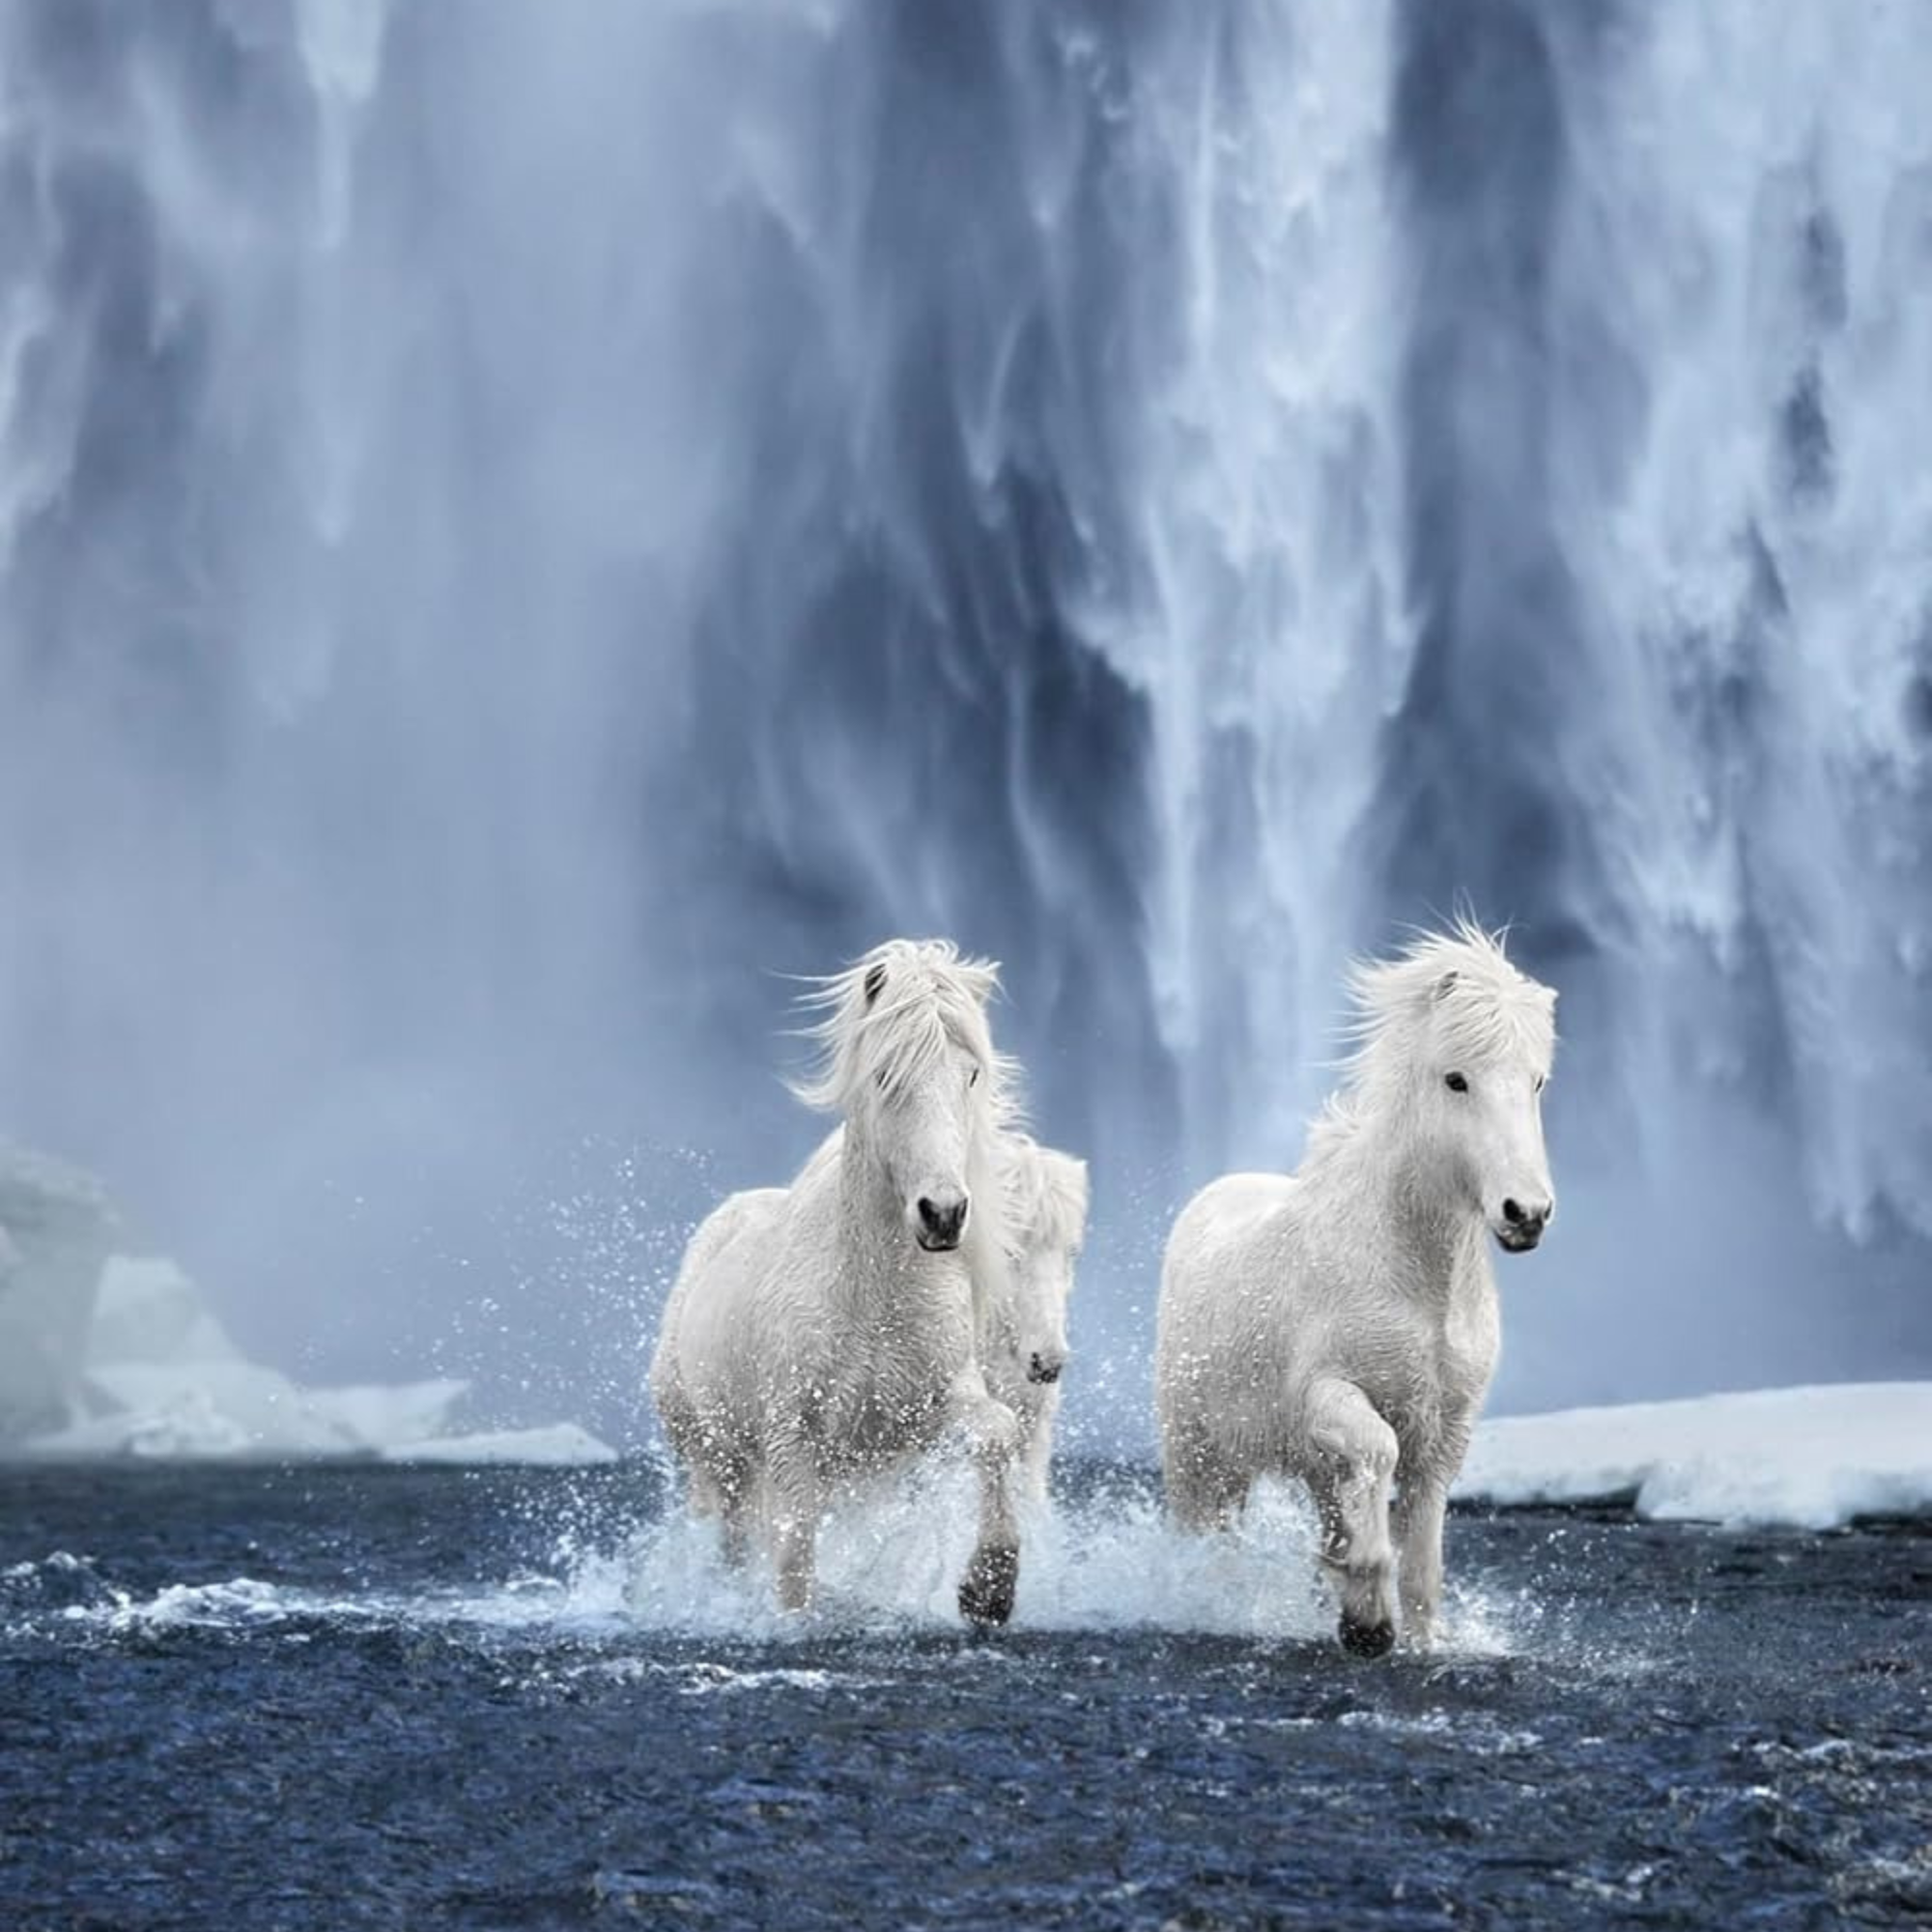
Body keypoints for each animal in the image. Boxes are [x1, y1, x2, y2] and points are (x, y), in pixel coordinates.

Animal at [648, 939, 1029, 1623]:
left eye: (971, 1075)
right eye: (884, 1075)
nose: (943, 1214)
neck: (872, 1298)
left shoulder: (926, 1411)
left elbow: (997, 1433)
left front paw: (989, 1589)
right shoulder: (790, 1436)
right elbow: (795, 1554)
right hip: (715, 1454)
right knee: (731, 1536)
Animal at [1154, 921, 1557, 1656]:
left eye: (1536, 1080)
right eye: (1456, 1079)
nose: (1526, 1214)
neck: (1418, 1281)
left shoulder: (1446, 1430)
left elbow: (1422, 1546)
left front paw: (1409, 1631)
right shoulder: (1327, 1395)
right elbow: (1379, 1451)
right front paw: (1368, 1615)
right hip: (1199, 1453)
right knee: (1206, 1531)